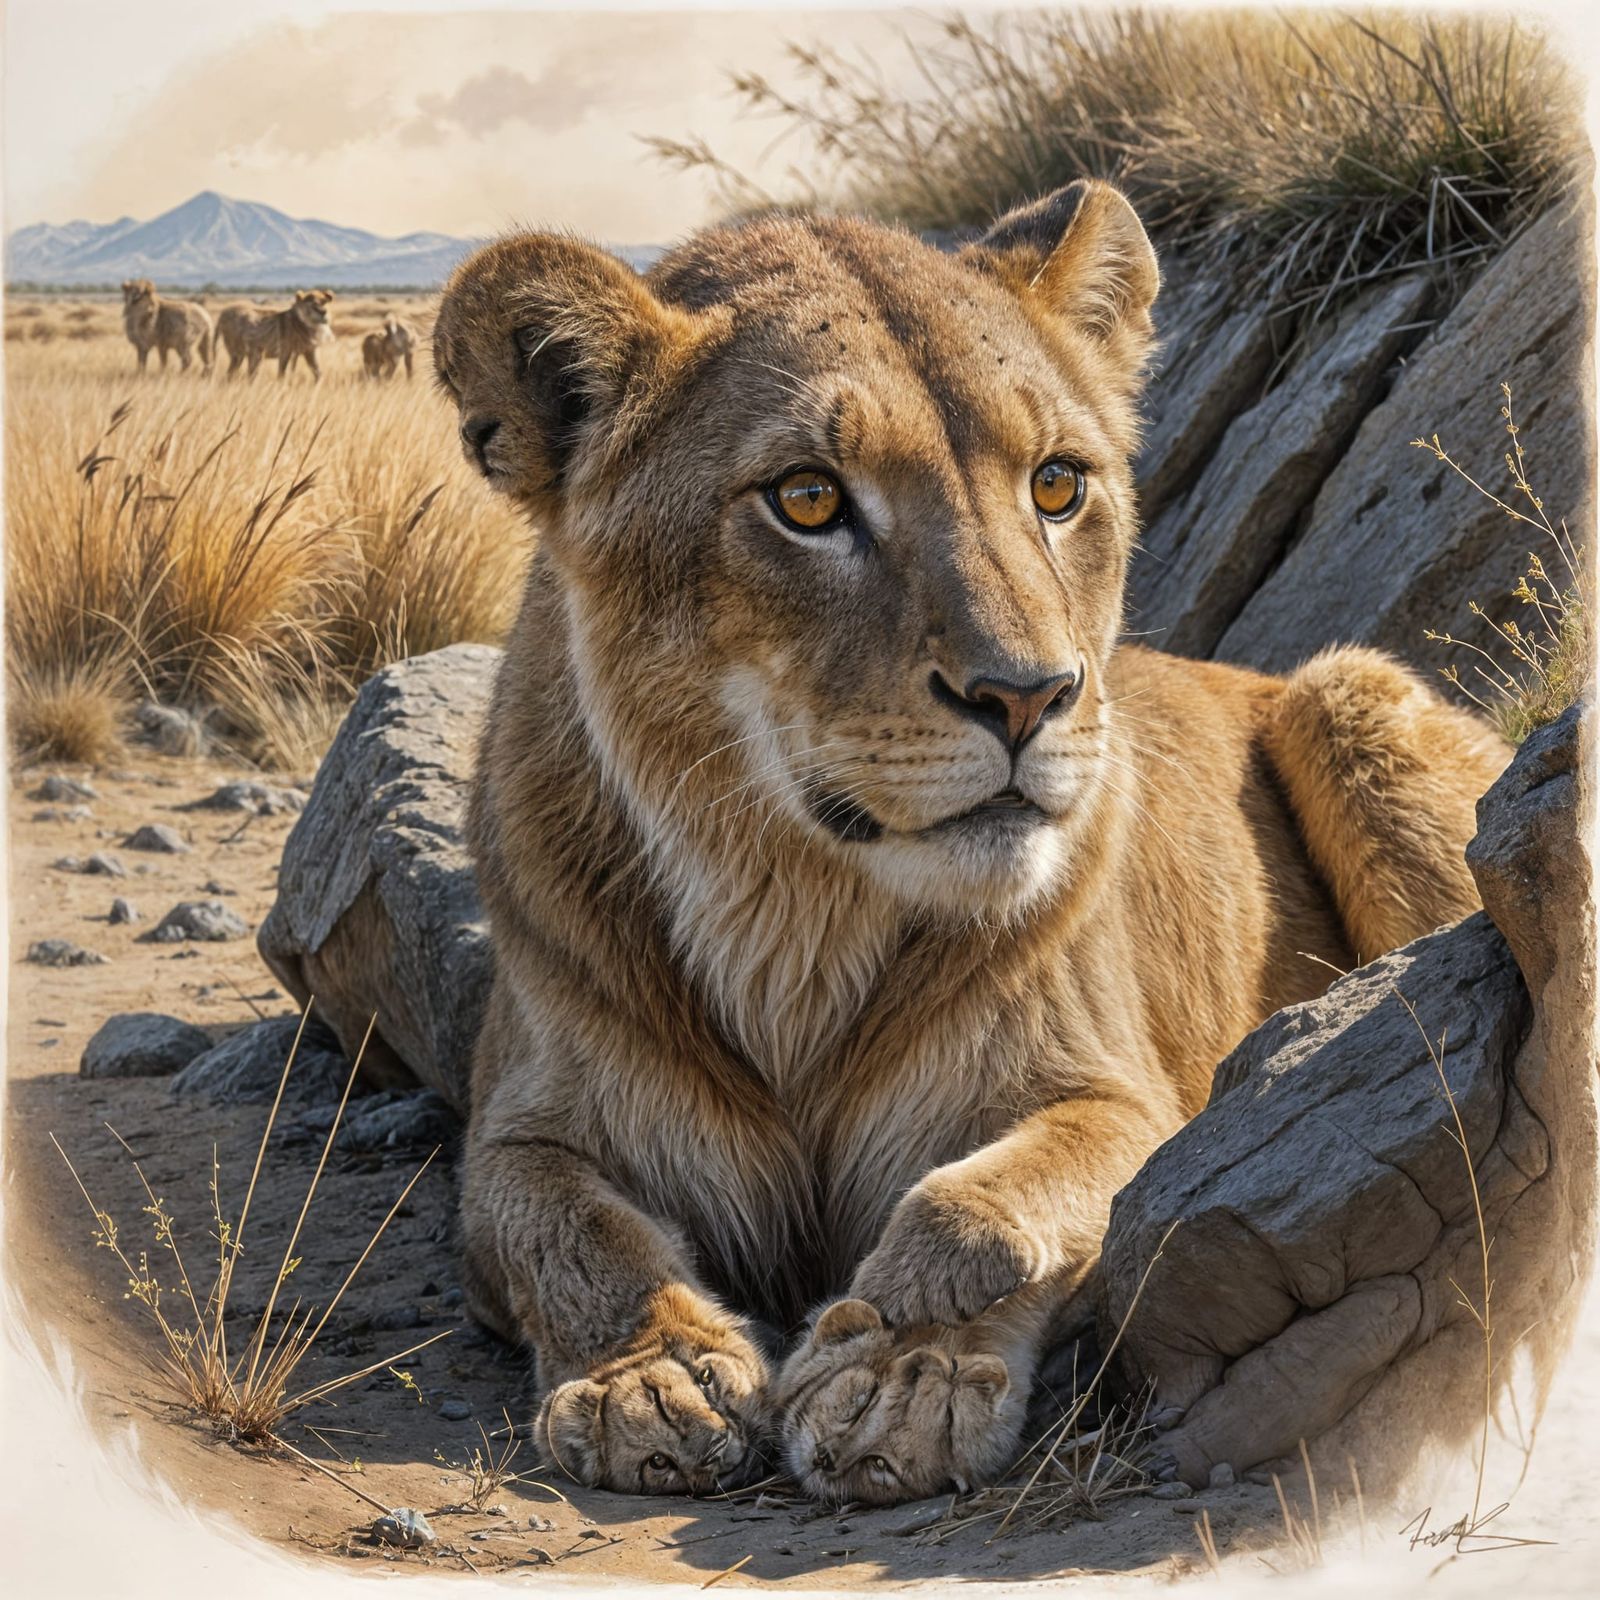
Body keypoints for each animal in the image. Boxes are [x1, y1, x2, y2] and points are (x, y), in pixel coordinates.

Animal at [431, 182, 1510, 1503]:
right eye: (807, 498)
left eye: (1056, 485)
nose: (1028, 695)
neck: (791, 912)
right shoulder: (518, 1125)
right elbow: (568, 1233)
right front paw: (650, 1377)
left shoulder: (1127, 1095)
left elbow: (978, 1207)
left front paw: (904, 1377)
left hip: (1343, 688)